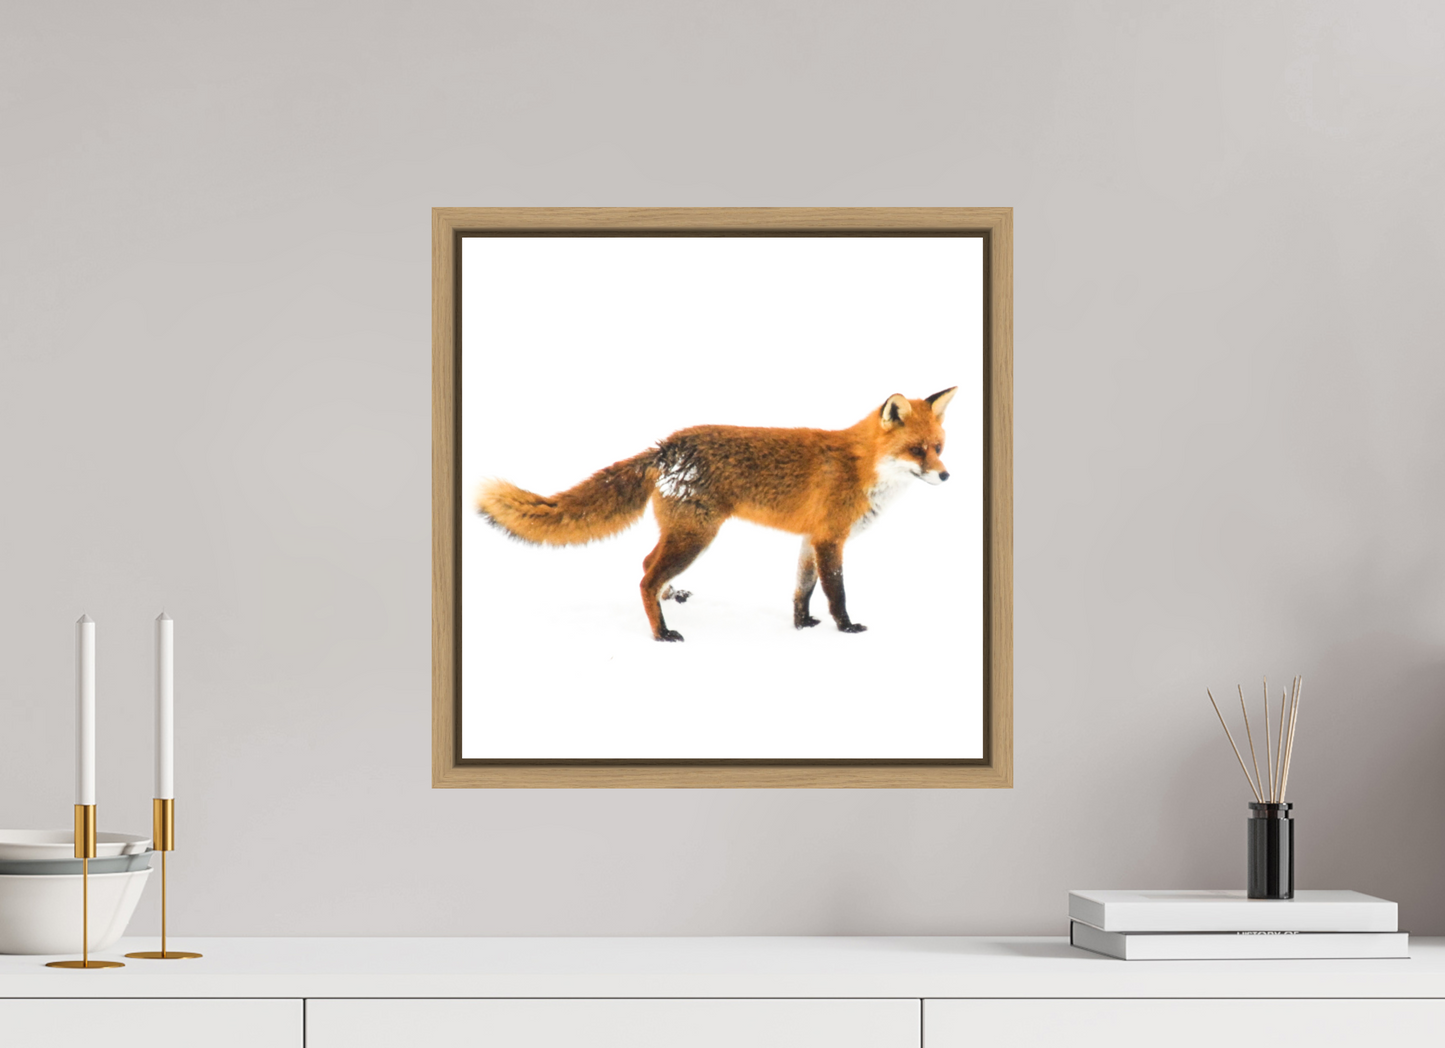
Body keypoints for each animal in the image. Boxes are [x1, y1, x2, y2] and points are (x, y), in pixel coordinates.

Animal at [476, 387, 957, 642]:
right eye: (917, 450)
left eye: (939, 447)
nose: (947, 475)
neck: (862, 467)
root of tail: (665, 447)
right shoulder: (830, 539)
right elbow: (835, 592)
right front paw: (846, 628)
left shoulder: (810, 539)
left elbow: (802, 590)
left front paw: (801, 625)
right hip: (697, 537)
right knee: (646, 577)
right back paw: (661, 633)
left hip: (685, 534)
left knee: (646, 564)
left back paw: (672, 599)